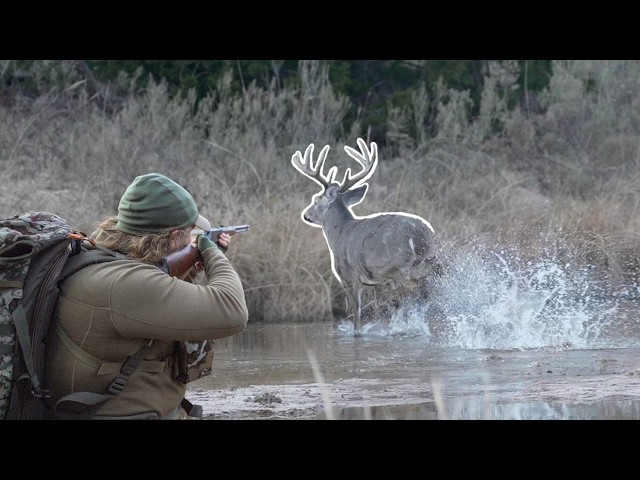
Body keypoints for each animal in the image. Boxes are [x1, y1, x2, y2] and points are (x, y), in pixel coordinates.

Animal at [291, 137, 441, 334]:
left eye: (315, 200)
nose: (305, 215)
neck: (338, 232)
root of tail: (418, 235)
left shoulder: (348, 275)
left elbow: (357, 314)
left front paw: (358, 331)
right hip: (430, 257)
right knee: (427, 284)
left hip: (392, 264)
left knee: (414, 283)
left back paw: (388, 298)